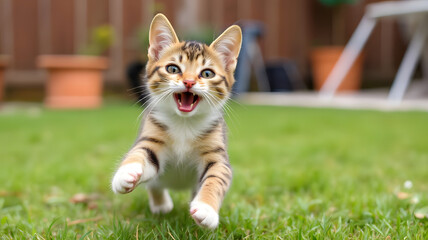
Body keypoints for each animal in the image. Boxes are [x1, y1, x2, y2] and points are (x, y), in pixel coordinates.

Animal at [111, 13, 241, 229]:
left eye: (207, 73)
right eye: (173, 69)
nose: (189, 82)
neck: (184, 124)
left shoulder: (217, 154)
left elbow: (217, 177)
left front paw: (206, 209)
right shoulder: (151, 136)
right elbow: (140, 152)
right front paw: (125, 172)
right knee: (155, 184)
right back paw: (161, 205)